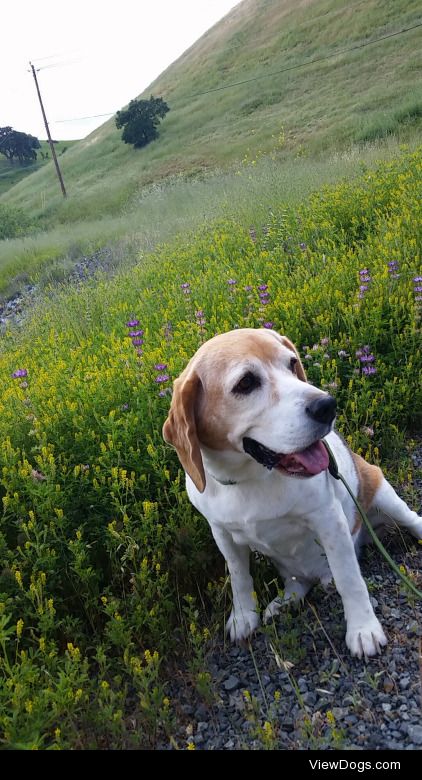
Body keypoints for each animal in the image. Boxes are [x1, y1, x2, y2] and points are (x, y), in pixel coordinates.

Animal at [162, 326, 422, 656]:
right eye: (246, 382)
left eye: (292, 363)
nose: (327, 405)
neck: (251, 479)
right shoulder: (221, 533)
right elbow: (239, 578)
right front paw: (244, 616)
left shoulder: (329, 521)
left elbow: (350, 580)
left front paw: (363, 629)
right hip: (290, 566)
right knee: (298, 583)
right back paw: (283, 604)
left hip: (383, 494)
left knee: (410, 520)